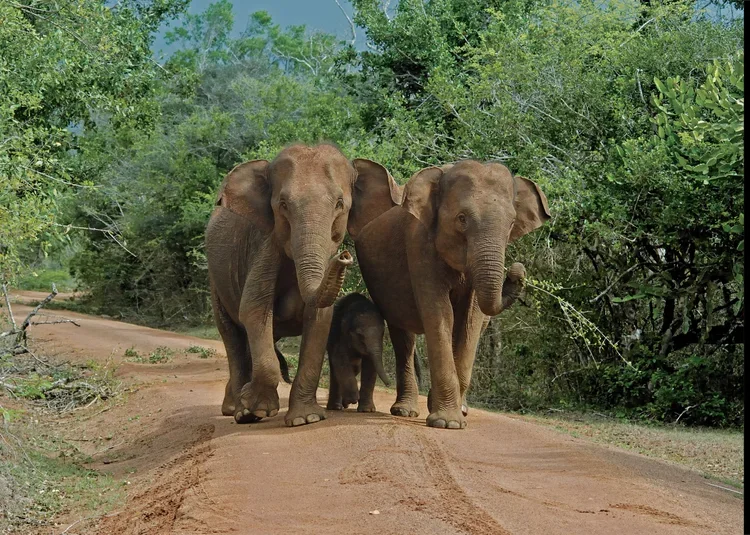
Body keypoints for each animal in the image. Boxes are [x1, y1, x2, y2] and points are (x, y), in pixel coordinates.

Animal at [205, 144, 400, 426]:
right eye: (283, 205)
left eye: (340, 204)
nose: (344, 256)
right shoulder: (265, 247)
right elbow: (253, 310)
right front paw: (256, 411)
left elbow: (319, 318)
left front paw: (305, 419)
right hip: (215, 281)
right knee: (231, 335)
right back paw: (237, 411)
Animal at [352, 160, 550, 429]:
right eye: (462, 218)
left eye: (511, 224)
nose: (516, 271)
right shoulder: (420, 244)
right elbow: (440, 314)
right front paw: (447, 423)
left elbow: (470, 321)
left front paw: (450, 416)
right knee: (403, 336)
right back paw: (405, 411)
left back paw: (458, 408)